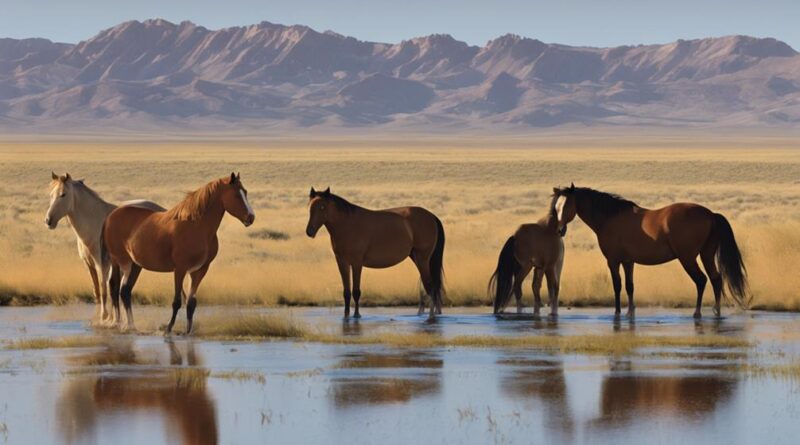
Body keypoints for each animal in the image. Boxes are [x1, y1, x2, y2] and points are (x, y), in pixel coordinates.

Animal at [45, 172, 164, 324]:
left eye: (63, 194)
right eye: (51, 195)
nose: (48, 220)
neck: (95, 223)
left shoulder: (102, 264)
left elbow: (104, 289)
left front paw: (105, 316)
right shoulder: (89, 264)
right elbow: (97, 290)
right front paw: (102, 317)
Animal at [102, 172, 253, 332]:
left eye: (245, 192)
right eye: (236, 195)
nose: (251, 217)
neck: (197, 226)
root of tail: (111, 216)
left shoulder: (199, 270)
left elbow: (191, 303)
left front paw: (188, 331)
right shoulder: (180, 269)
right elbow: (177, 301)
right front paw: (168, 329)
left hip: (136, 265)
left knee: (125, 291)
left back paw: (130, 325)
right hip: (120, 262)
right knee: (116, 288)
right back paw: (120, 323)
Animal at [304, 187, 446, 320]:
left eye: (322, 207)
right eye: (310, 206)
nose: (309, 231)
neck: (348, 225)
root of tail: (431, 216)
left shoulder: (357, 263)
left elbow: (356, 291)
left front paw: (357, 315)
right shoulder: (342, 263)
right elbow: (346, 292)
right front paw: (346, 316)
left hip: (423, 259)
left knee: (431, 286)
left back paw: (431, 316)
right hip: (417, 258)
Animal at [552, 182, 748, 318]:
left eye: (567, 206)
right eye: (556, 207)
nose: (559, 230)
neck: (610, 218)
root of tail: (711, 214)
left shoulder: (613, 261)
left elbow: (617, 286)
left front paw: (617, 312)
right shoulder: (628, 262)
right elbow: (630, 286)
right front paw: (630, 312)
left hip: (688, 258)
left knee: (701, 280)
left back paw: (697, 312)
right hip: (706, 255)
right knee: (716, 279)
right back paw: (717, 310)